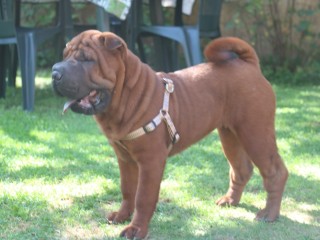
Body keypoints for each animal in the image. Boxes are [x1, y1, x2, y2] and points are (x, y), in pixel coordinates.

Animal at [52, 29, 288, 238]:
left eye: (86, 59)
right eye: (65, 56)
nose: (54, 72)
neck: (127, 95)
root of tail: (249, 65)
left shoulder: (150, 161)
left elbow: (143, 197)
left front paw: (136, 229)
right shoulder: (125, 159)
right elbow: (127, 190)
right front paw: (121, 215)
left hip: (255, 133)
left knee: (275, 172)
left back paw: (269, 214)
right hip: (230, 135)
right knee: (241, 170)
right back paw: (230, 201)